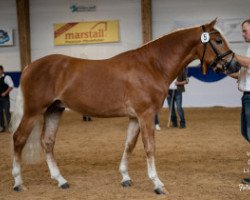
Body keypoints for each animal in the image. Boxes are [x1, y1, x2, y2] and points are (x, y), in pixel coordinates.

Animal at [11, 19, 240, 195]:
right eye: (218, 40)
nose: (235, 65)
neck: (152, 65)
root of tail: (30, 66)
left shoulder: (134, 117)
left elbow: (129, 144)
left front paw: (125, 178)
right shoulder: (146, 114)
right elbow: (149, 147)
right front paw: (157, 184)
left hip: (54, 110)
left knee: (48, 142)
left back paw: (61, 180)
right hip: (33, 112)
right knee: (19, 138)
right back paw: (18, 183)